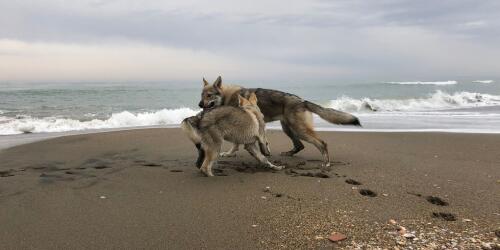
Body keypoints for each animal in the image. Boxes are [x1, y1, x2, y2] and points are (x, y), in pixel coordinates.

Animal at [197, 75, 362, 167]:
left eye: (209, 95)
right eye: (201, 95)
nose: (199, 104)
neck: (226, 96)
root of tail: (302, 101)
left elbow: (236, 144)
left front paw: (229, 153)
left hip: (298, 130)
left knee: (321, 143)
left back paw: (326, 162)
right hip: (287, 128)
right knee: (300, 146)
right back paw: (288, 154)